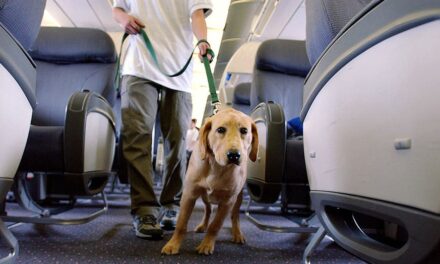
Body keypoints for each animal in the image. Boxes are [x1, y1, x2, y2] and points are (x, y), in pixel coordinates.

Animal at [161, 108, 258, 256]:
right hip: (204, 196)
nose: (234, 155)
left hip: (238, 198)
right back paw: (203, 225)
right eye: (221, 129)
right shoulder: (189, 195)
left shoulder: (228, 202)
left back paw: (237, 233)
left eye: (244, 131)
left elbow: (215, 226)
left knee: (235, 216)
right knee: (208, 209)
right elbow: (181, 224)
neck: (216, 166)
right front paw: (173, 244)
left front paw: (207, 244)